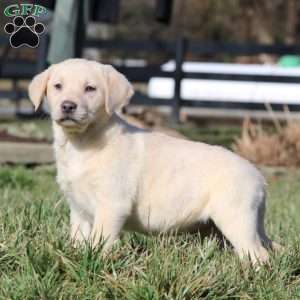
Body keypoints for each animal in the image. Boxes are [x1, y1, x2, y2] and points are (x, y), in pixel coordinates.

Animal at [28, 59, 278, 264]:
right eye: (57, 86)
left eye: (90, 88)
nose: (68, 106)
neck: (81, 143)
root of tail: (259, 176)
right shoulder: (79, 209)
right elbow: (78, 239)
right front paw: (74, 257)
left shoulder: (112, 204)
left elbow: (101, 240)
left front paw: (95, 263)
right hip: (225, 226)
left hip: (235, 217)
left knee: (258, 255)